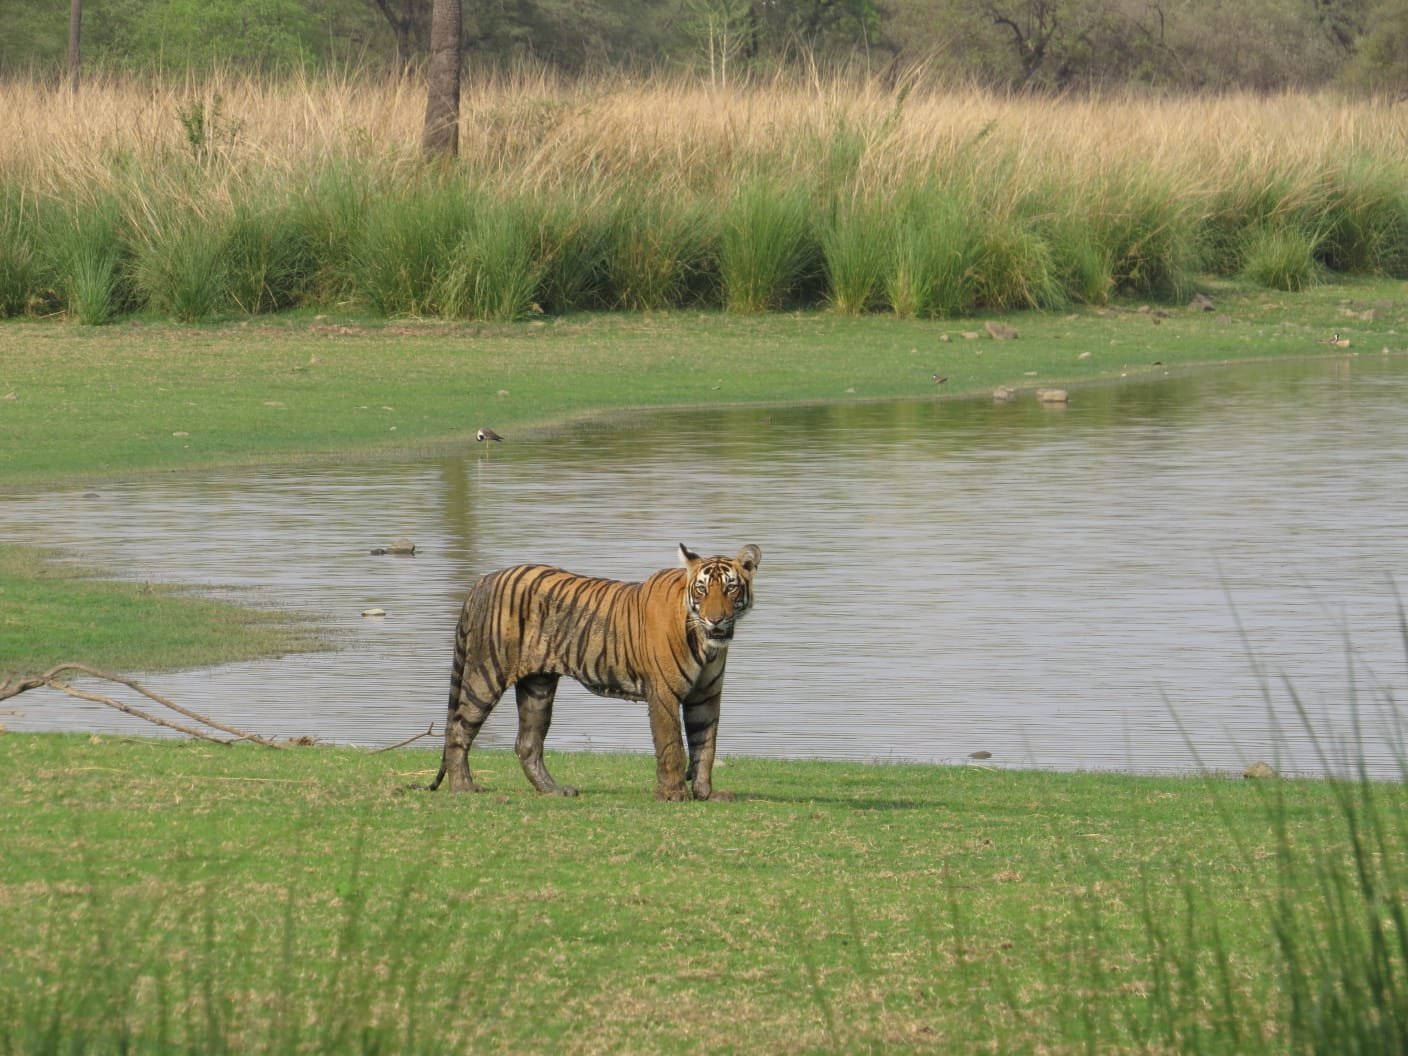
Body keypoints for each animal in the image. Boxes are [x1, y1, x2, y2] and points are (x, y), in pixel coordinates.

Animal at [426, 543, 762, 801]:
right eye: (702, 590)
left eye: (731, 588)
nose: (715, 619)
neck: (707, 644)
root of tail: (483, 579)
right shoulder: (664, 693)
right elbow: (672, 745)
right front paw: (673, 794)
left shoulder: (706, 696)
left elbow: (705, 745)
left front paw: (706, 793)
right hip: (486, 673)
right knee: (458, 728)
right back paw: (463, 787)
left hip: (538, 686)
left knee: (527, 743)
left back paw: (553, 790)